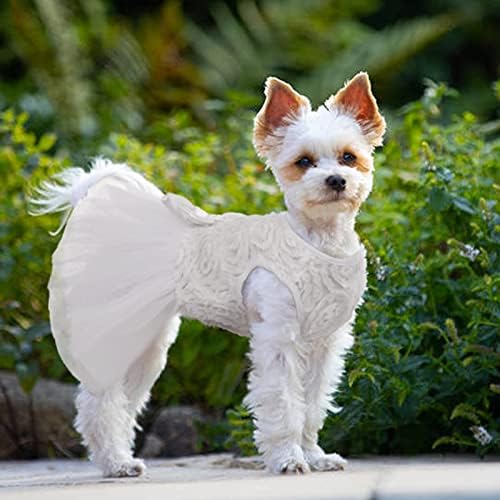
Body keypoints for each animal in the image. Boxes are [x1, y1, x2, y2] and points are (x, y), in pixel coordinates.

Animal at [30, 72, 385, 477]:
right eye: (304, 162)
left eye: (349, 157)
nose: (336, 180)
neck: (317, 241)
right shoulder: (278, 340)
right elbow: (283, 403)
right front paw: (288, 458)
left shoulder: (325, 345)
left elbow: (311, 405)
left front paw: (313, 455)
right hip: (115, 334)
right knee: (97, 404)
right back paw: (115, 463)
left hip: (147, 348)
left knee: (117, 403)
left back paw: (118, 460)